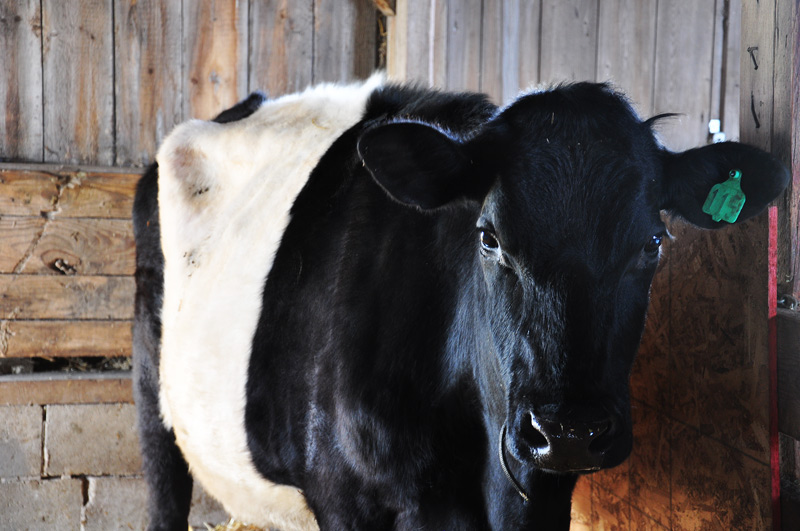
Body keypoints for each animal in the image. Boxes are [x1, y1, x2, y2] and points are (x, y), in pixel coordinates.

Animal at [132, 74, 789, 531]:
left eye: (653, 241)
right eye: (489, 236)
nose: (568, 430)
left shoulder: (543, 493)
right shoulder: (343, 497)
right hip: (151, 396)